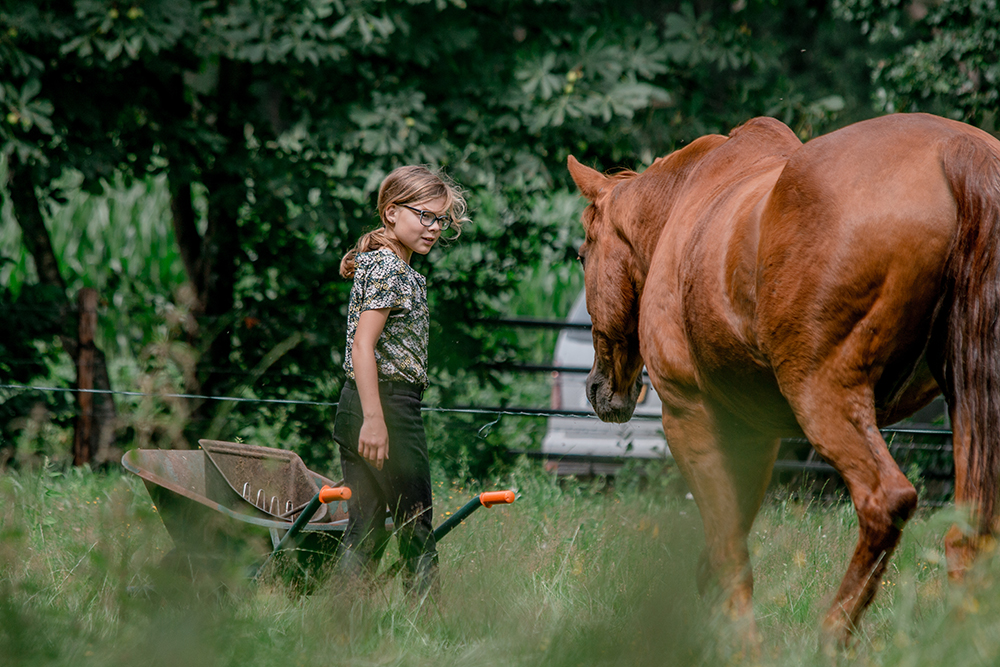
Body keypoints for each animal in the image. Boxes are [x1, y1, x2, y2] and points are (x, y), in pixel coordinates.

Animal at [568, 113, 1000, 640]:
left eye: (583, 256)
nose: (597, 389)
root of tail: (957, 150)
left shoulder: (691, 416)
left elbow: (729, 554)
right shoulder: (752, 432)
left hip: (822, 394)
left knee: (886, 502)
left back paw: (830, 637)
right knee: (972, 532)